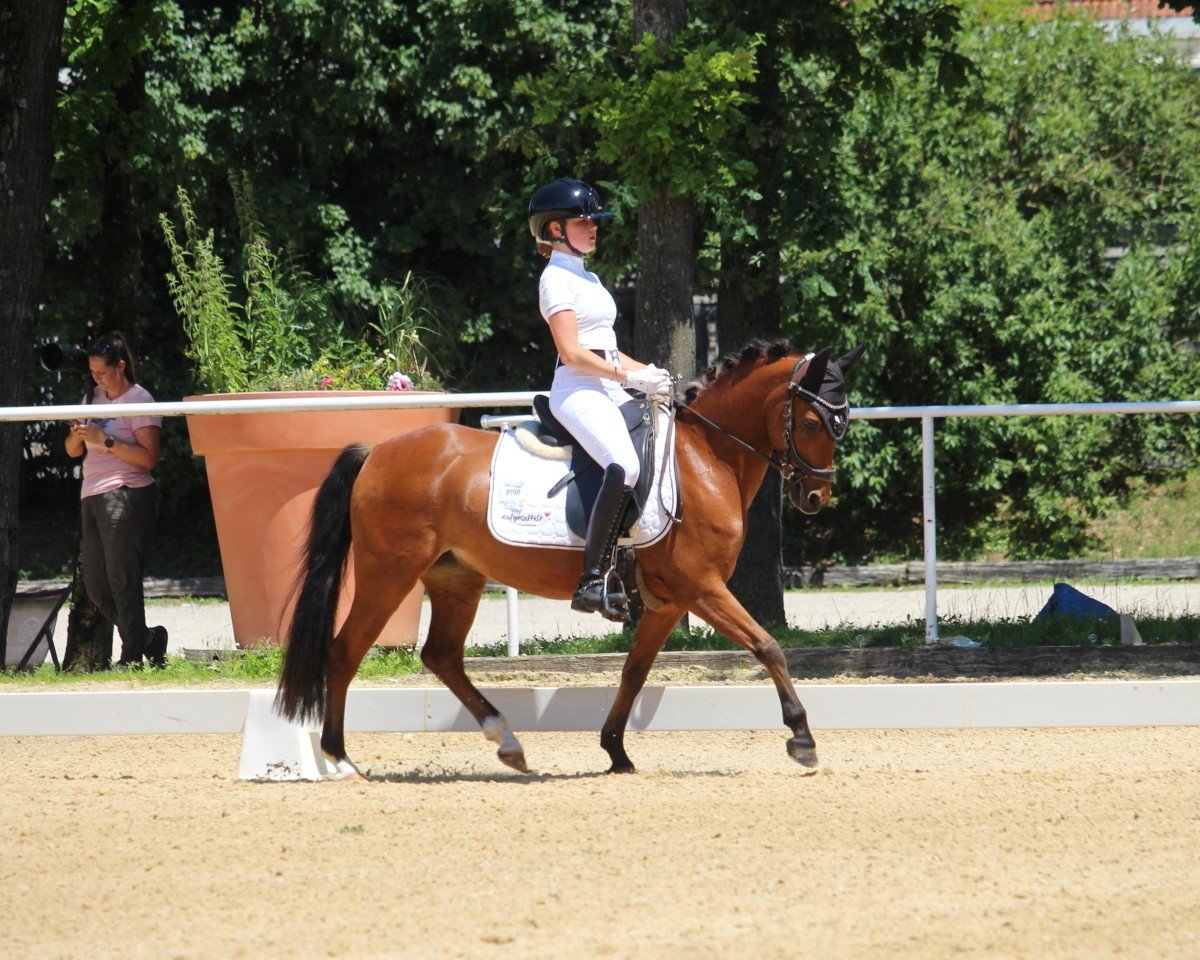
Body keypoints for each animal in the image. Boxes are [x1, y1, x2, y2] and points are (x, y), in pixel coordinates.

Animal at [276, 339, 864, 778]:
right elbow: (768, 647)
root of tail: (378, 452)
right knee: (344, 651)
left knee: (441, 656)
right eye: (812, 423)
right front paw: (803, 738)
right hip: (389, 572)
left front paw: (616, 750)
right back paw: (340, 759)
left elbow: (634, 671)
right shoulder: (700, 586)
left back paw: (507, 742)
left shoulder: (671, 601)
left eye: (843, 424)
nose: (816, 497)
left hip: (456, 578)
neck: (706, 456)